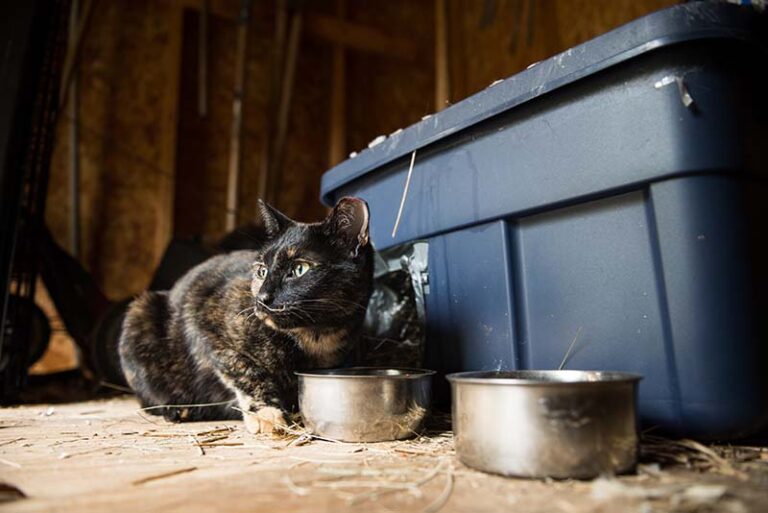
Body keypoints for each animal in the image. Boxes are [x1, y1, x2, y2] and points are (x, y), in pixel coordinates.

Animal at [118, 198, 374, 434]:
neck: (317, 335)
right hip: (139, 312)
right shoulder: (207, 327)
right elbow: (246, 372)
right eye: (262, 271)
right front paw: (266, 414)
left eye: (299, 269)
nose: (262, 297)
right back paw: (180, 410)